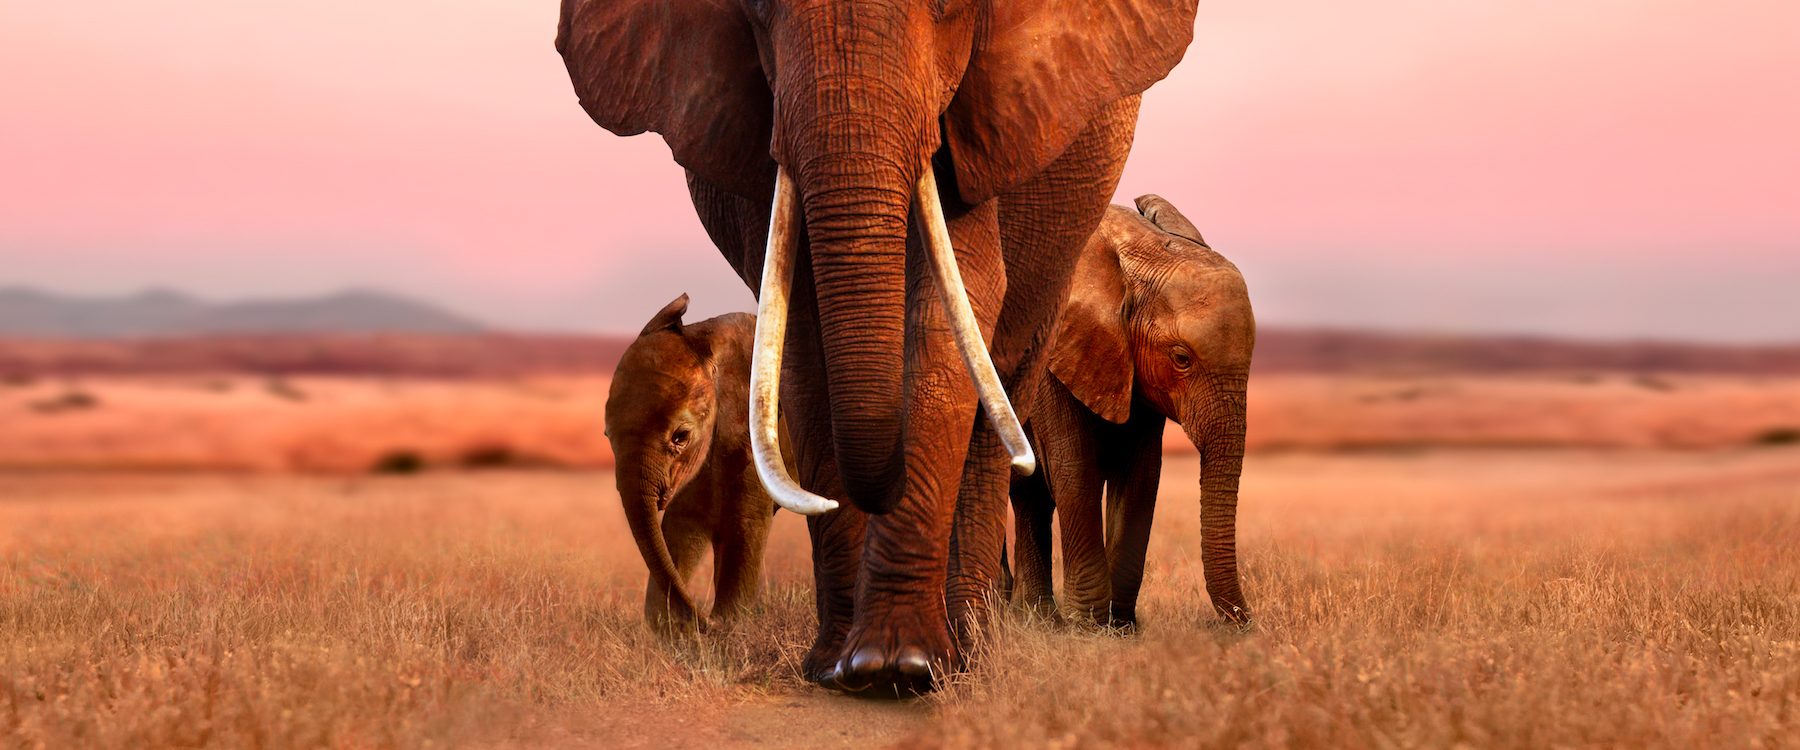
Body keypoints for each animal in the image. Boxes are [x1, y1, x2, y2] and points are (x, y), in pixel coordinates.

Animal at [604, 294, 775, 634]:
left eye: (680, 437)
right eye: (607, 435)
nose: (705, 618)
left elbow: (746, 523)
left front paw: (729, 623)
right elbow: (682, 525)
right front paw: (673, 628)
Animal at [1009, 195, 1254, 630]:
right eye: (1181, 358)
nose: (1245, 624)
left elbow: (1142, 474)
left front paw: (1121, 627)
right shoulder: (1053, 351)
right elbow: (1075, 467)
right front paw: (1087, 628)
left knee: (1029, 494)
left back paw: (1035, 619)